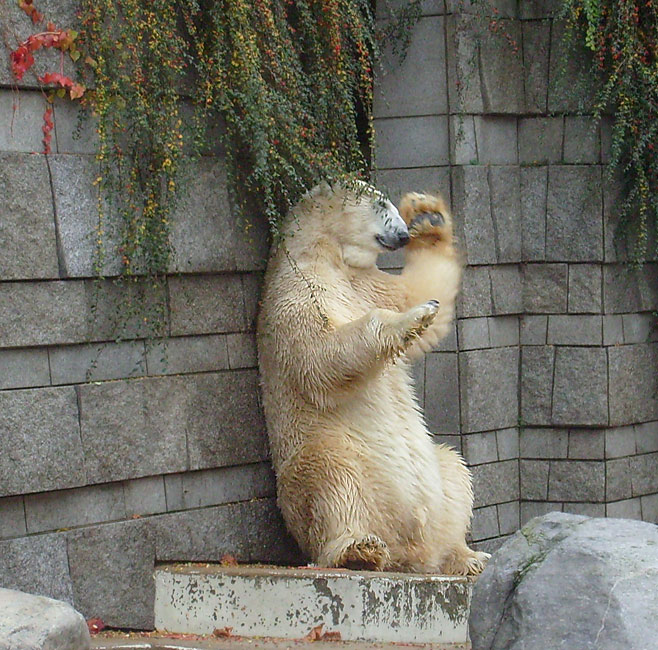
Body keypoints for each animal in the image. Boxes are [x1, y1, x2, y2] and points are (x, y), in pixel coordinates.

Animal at [256, 181, 486, 572]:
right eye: (380, 203)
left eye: (392, 203)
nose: (404, 235)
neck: (325, 256)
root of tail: (408, 552)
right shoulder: (295, 293)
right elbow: (321, 354)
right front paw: (410, 319)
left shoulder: (363, 283)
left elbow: (415, 290)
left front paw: (428, 217)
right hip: (328, 454)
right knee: (332, 478)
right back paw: (358, 549)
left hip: (437, 487)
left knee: (454, 471)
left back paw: (465, 556)